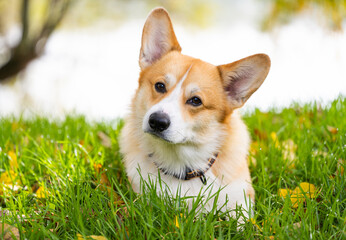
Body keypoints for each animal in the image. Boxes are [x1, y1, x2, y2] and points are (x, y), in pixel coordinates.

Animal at [120, 7, 272, 218]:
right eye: (159, 86)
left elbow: (243, 220)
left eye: (195, 101)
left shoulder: (241, 200)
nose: (157, 121)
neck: (182, 164)